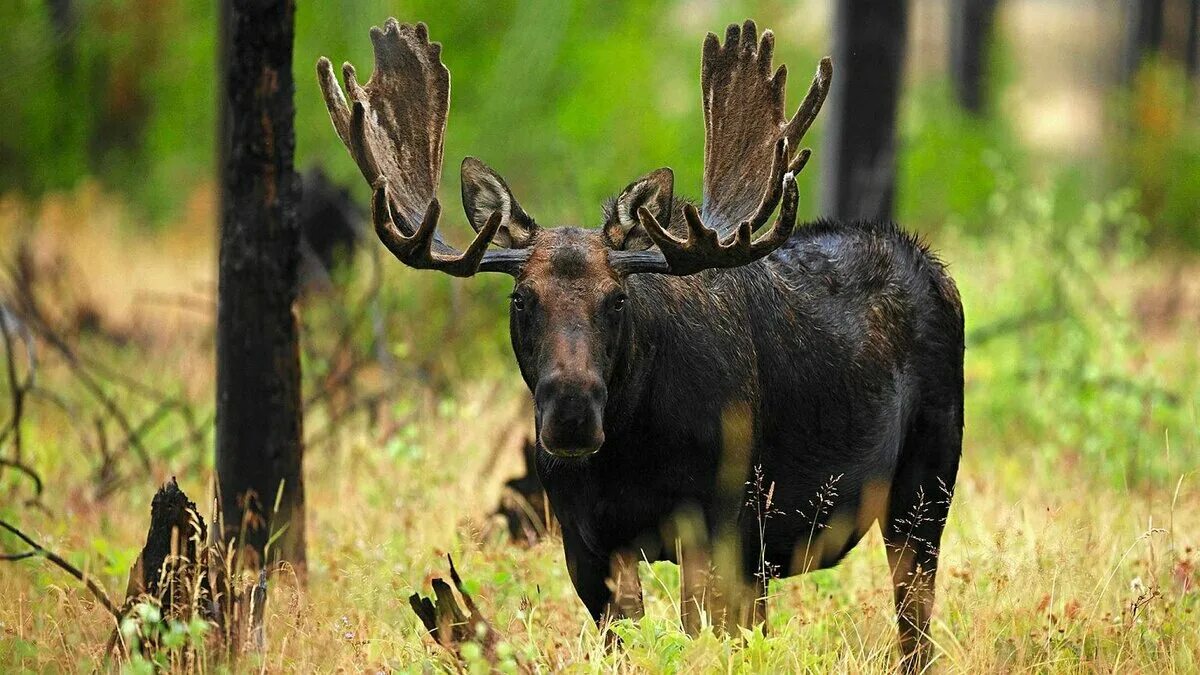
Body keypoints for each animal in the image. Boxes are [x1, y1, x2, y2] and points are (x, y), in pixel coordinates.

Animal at [316, 15, 964, 667]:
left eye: (618, 298)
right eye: (521, 299)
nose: (572, 413)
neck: (628, 455)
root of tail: (935, 267)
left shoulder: (716, 524)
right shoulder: (589, 543)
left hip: (925, 486)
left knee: (914, 624)